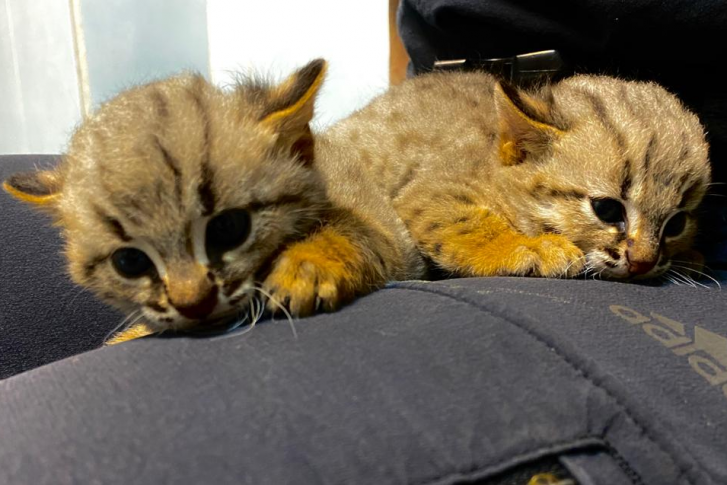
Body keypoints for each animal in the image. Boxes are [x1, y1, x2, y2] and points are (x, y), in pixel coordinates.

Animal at [3, 59, 422, 345]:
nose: (193, 303)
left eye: (228, 227)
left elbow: (351, 231)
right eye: (130, 262)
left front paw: (307, 266)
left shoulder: (386, 236)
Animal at [318, 71, 710, 282]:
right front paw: (531, 247)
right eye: (607, 209)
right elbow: (468, 223)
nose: (643, 263)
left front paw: (689, 257)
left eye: (677, 224)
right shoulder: (426, 193)